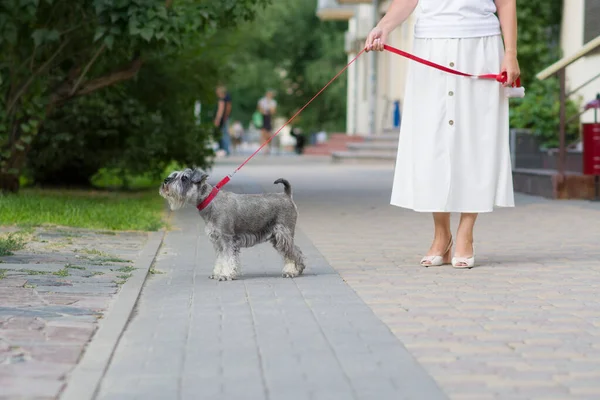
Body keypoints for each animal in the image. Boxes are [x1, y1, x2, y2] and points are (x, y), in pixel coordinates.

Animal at [158, 169, 304, 282]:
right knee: (293, 251)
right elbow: (221, 258)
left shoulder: (227, 239)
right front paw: (217, 273)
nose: (165, 180)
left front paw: (226, 275)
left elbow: (228, 258)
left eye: (184, 178)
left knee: (293, 252)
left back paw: (291, 271)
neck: (210, 202)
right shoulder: (217, 241)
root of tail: (286, 195)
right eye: (174, 174)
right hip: (276, 237)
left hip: (283, 234)